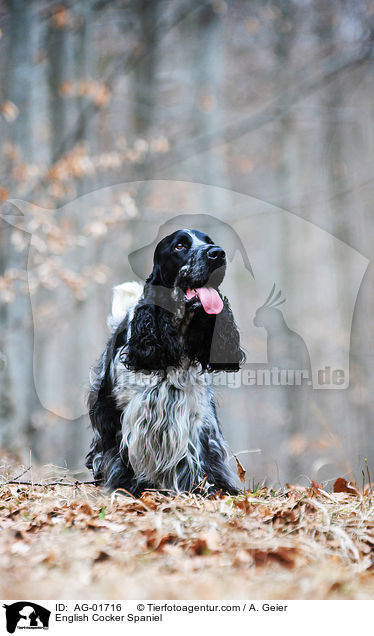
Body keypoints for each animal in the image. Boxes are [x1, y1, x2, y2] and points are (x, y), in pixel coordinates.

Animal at [86, 229, 247, 496]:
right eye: (180, 246)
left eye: (210, 242)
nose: (218, 253)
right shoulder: (128, 414)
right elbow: (122, 455)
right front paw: (127, 487)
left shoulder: (197, 416)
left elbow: (200, 456)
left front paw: (212, 487)